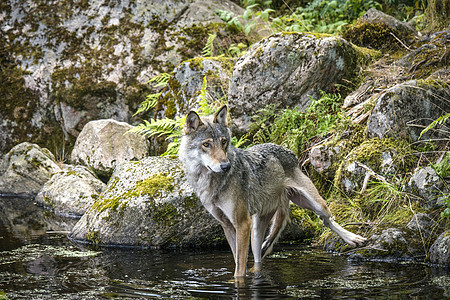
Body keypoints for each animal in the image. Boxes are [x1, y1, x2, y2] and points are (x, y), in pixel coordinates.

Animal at [178, 105, 366, 278]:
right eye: (206, 144)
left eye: (223, 142)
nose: (226, 166)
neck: (211, 182)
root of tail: (289, 151)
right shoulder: (228, 226)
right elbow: (238, 262)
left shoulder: (242, 223)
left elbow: (239, 269)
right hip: (256, 231)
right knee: (258, 258)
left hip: (314, 204)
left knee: (326, 220)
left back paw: (353, 239)